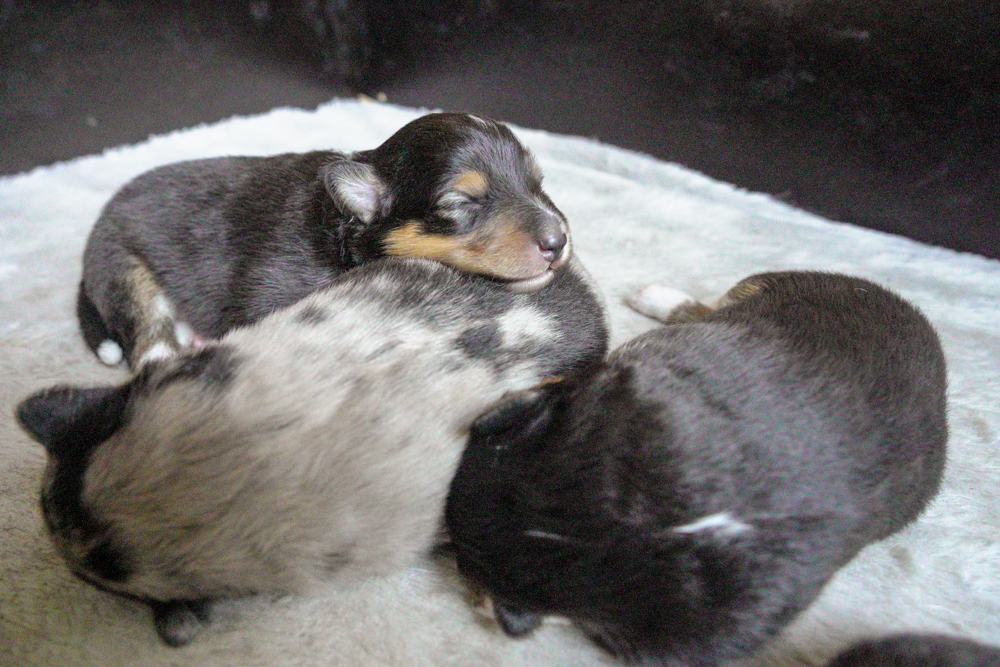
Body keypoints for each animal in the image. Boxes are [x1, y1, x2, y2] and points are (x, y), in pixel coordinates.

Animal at [77, 111, 572, 368]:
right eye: (460, 202)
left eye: (538, 183)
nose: (559, 240)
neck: (345, 235)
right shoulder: (268, 294)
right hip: (123, 269)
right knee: (150, 344)